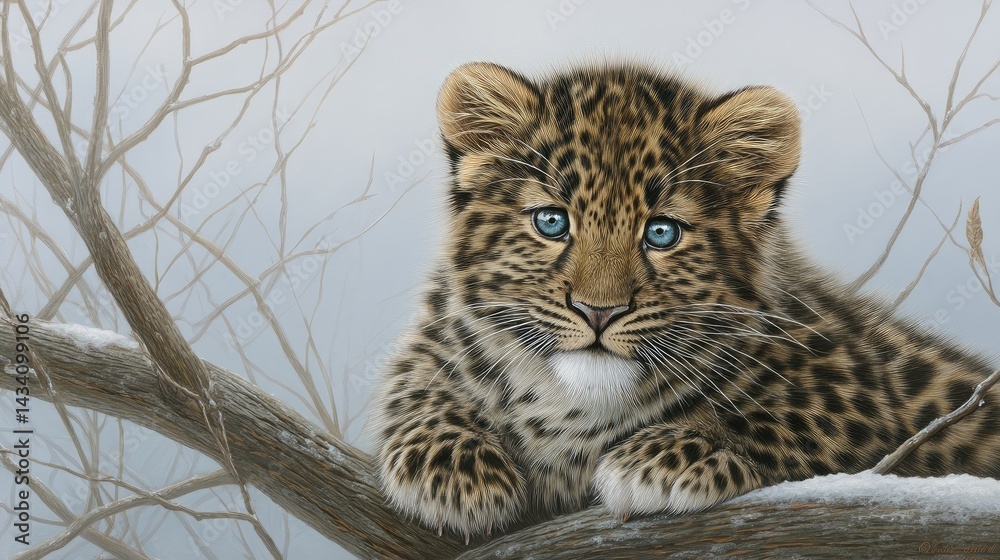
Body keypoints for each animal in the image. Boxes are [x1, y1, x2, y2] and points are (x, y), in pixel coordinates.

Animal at [369, 61, 1000, 541]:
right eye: (551, 222)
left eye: (662, 233)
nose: (598, 312)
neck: (571, 410)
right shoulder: (435, 334)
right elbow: (417, 380)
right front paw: (454, 467)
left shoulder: (863, 385)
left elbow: (793, 415)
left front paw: (673, 455)